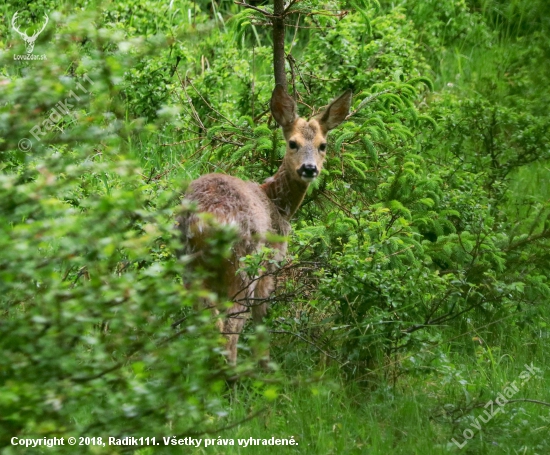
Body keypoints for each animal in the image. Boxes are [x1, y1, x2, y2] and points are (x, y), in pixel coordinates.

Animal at [181, 85, 354, 366]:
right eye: (293, 143)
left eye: (323, 145)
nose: (309, 169)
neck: (277, 203)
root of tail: (209, 222)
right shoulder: (271, 263)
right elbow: (262, 316)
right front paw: (265, 364)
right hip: (243, 266)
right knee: (231, 326)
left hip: (189, 265)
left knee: (209, 322)